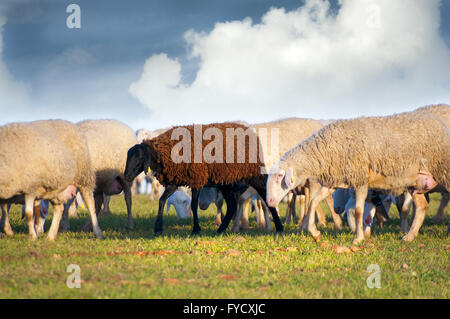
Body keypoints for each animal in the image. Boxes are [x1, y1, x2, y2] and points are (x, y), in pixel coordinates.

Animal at [125, 122, 284, 235]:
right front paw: (158, 228)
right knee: (232, 206)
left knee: (264, 195)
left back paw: (279, 227)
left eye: (139, 157)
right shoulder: (176, 180)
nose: (126, 176)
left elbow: (194, 205)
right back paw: (220, 230)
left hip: (254, 174)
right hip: (227, 181)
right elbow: (162, 200)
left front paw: (196, 229)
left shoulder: (197, 178)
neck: (166, 151)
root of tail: (251, 132)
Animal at [268, 110, 450, 245]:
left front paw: (358, 239)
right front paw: (315, 233)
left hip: (444, 170)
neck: (325, 150)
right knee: (422, 206)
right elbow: (313, 202)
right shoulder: (334, 182)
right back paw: (409, 237)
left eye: (280, 176)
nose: (269, 201)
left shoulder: (361, 180)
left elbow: (358, 210)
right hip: (416, 181)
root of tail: (438, 121)